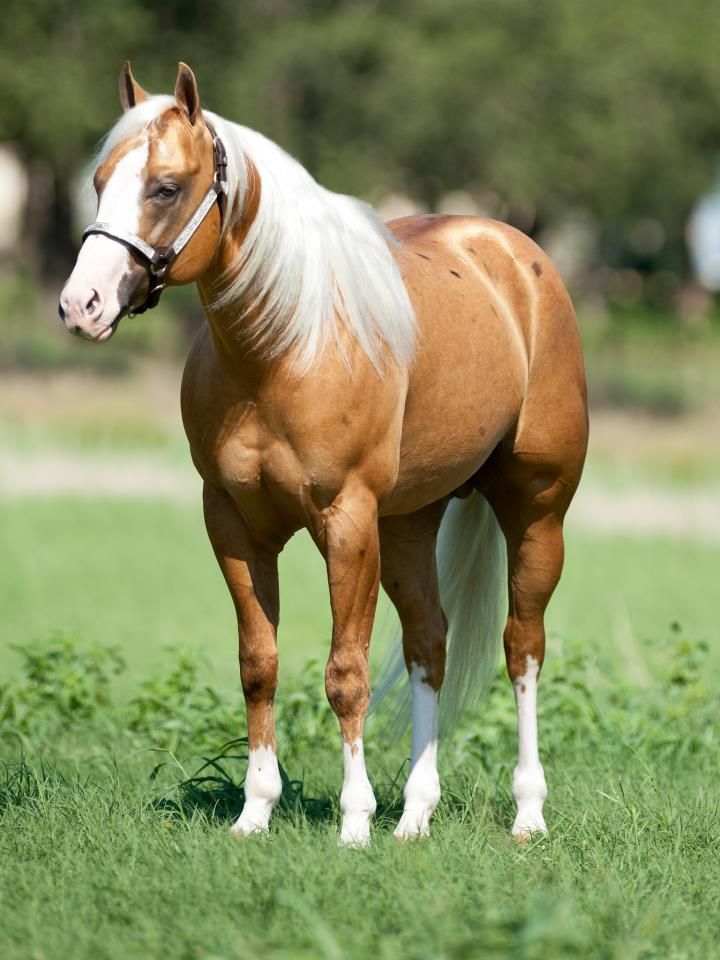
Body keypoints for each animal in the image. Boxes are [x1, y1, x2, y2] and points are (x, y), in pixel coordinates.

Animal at [59, 62, 588, 848]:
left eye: (166, 187)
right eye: (98, 181)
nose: (81, 304)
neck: (284, 349)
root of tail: (516, 257)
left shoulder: (347, 523)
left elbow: (346, 674)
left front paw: (354, 822)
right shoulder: (235, 526)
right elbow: (259, 665)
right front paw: (255, 812)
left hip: (535, 512)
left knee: (522, 647)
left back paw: (527, 812)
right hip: (409, 523)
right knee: (429, 643)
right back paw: (416, 816)